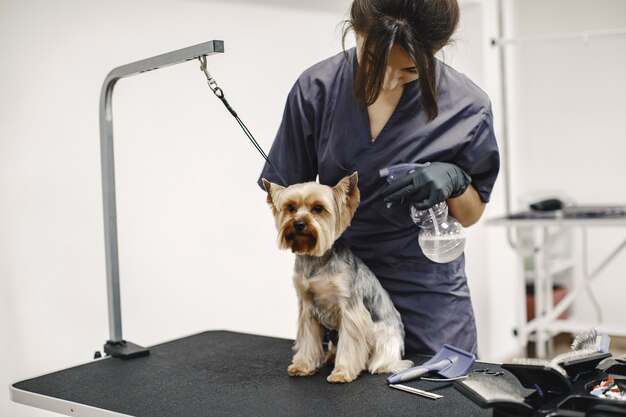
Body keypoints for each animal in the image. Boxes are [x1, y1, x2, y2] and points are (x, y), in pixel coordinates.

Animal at [260, 173, 412, 384]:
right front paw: (303, 366)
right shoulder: (307, 306)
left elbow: (350, 344)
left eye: (318, 208)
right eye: (290, 207)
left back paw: (376, 365)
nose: (298, 223)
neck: (315, 259)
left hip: (384, 336)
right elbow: (307, 339)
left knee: (384, 359)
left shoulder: (350, 309)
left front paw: (342, 373)